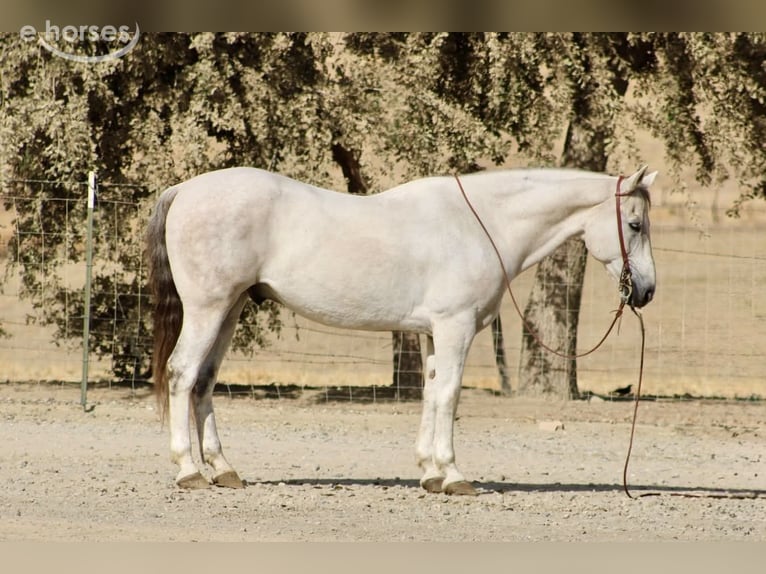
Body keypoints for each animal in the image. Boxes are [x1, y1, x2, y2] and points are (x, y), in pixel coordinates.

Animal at [146, 165, 657, 495]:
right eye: (634, 224)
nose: (647, 290)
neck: (481, 225)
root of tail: (184, 190)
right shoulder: (455, 328)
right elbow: (449, 395)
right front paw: (453, 477)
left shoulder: (432, 332)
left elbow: (431, 393)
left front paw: (429, 473)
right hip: (208, 308)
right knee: (183, 373)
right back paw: (189, 471)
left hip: (230, 309)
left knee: (204, 382)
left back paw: (223, 470)